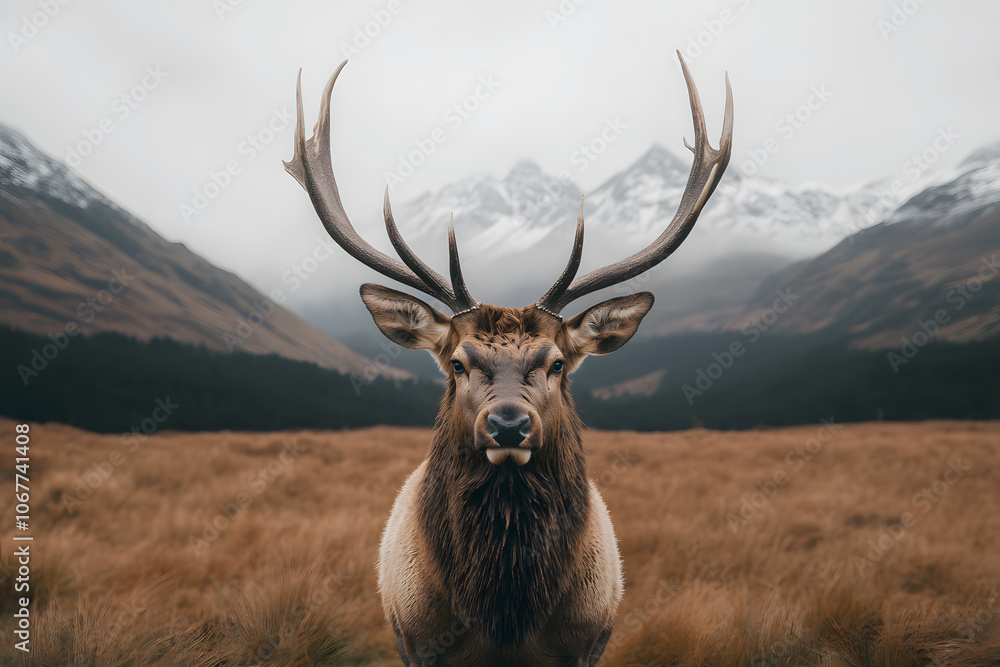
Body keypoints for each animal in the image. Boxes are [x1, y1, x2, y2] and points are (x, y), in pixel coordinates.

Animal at [284, 51, 732, 667]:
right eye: (457, 362)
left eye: (557, 363)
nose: (509, 425)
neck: (504, 621)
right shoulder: (417, 641)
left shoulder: (586, 642)